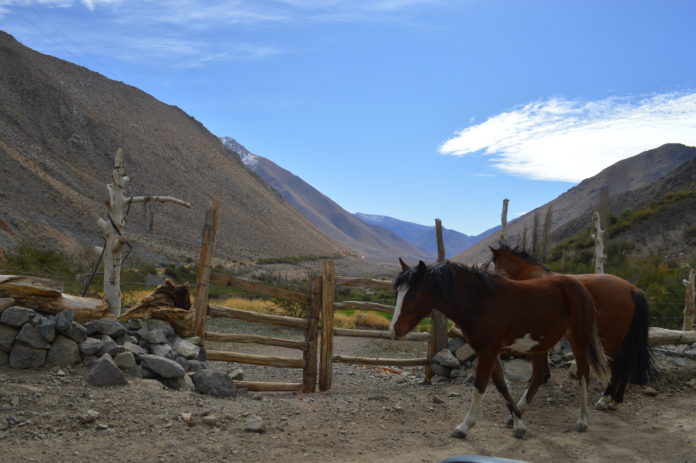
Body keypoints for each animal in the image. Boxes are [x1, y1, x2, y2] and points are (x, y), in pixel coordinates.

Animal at [392, 260, 608, 438]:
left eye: (412, 294)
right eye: (397, 293)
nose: (395, 329)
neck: (478, 302)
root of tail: (582, 288)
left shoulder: (488, 350)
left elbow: (479, 386)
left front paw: (464, 426)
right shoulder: (487, 350)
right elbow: (501, 385)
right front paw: (519, 423)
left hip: (578, 339)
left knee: (583, 374)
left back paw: (582, 421)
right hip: (541, 344)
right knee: (538, 376)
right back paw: (517, 413)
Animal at [486, 245, 656, 412]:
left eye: (493, 262)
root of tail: (632, 289)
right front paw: (545, 376)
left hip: (610, 341)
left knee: (618, 366)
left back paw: (605, 399)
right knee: (625, 365)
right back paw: (616, 400)